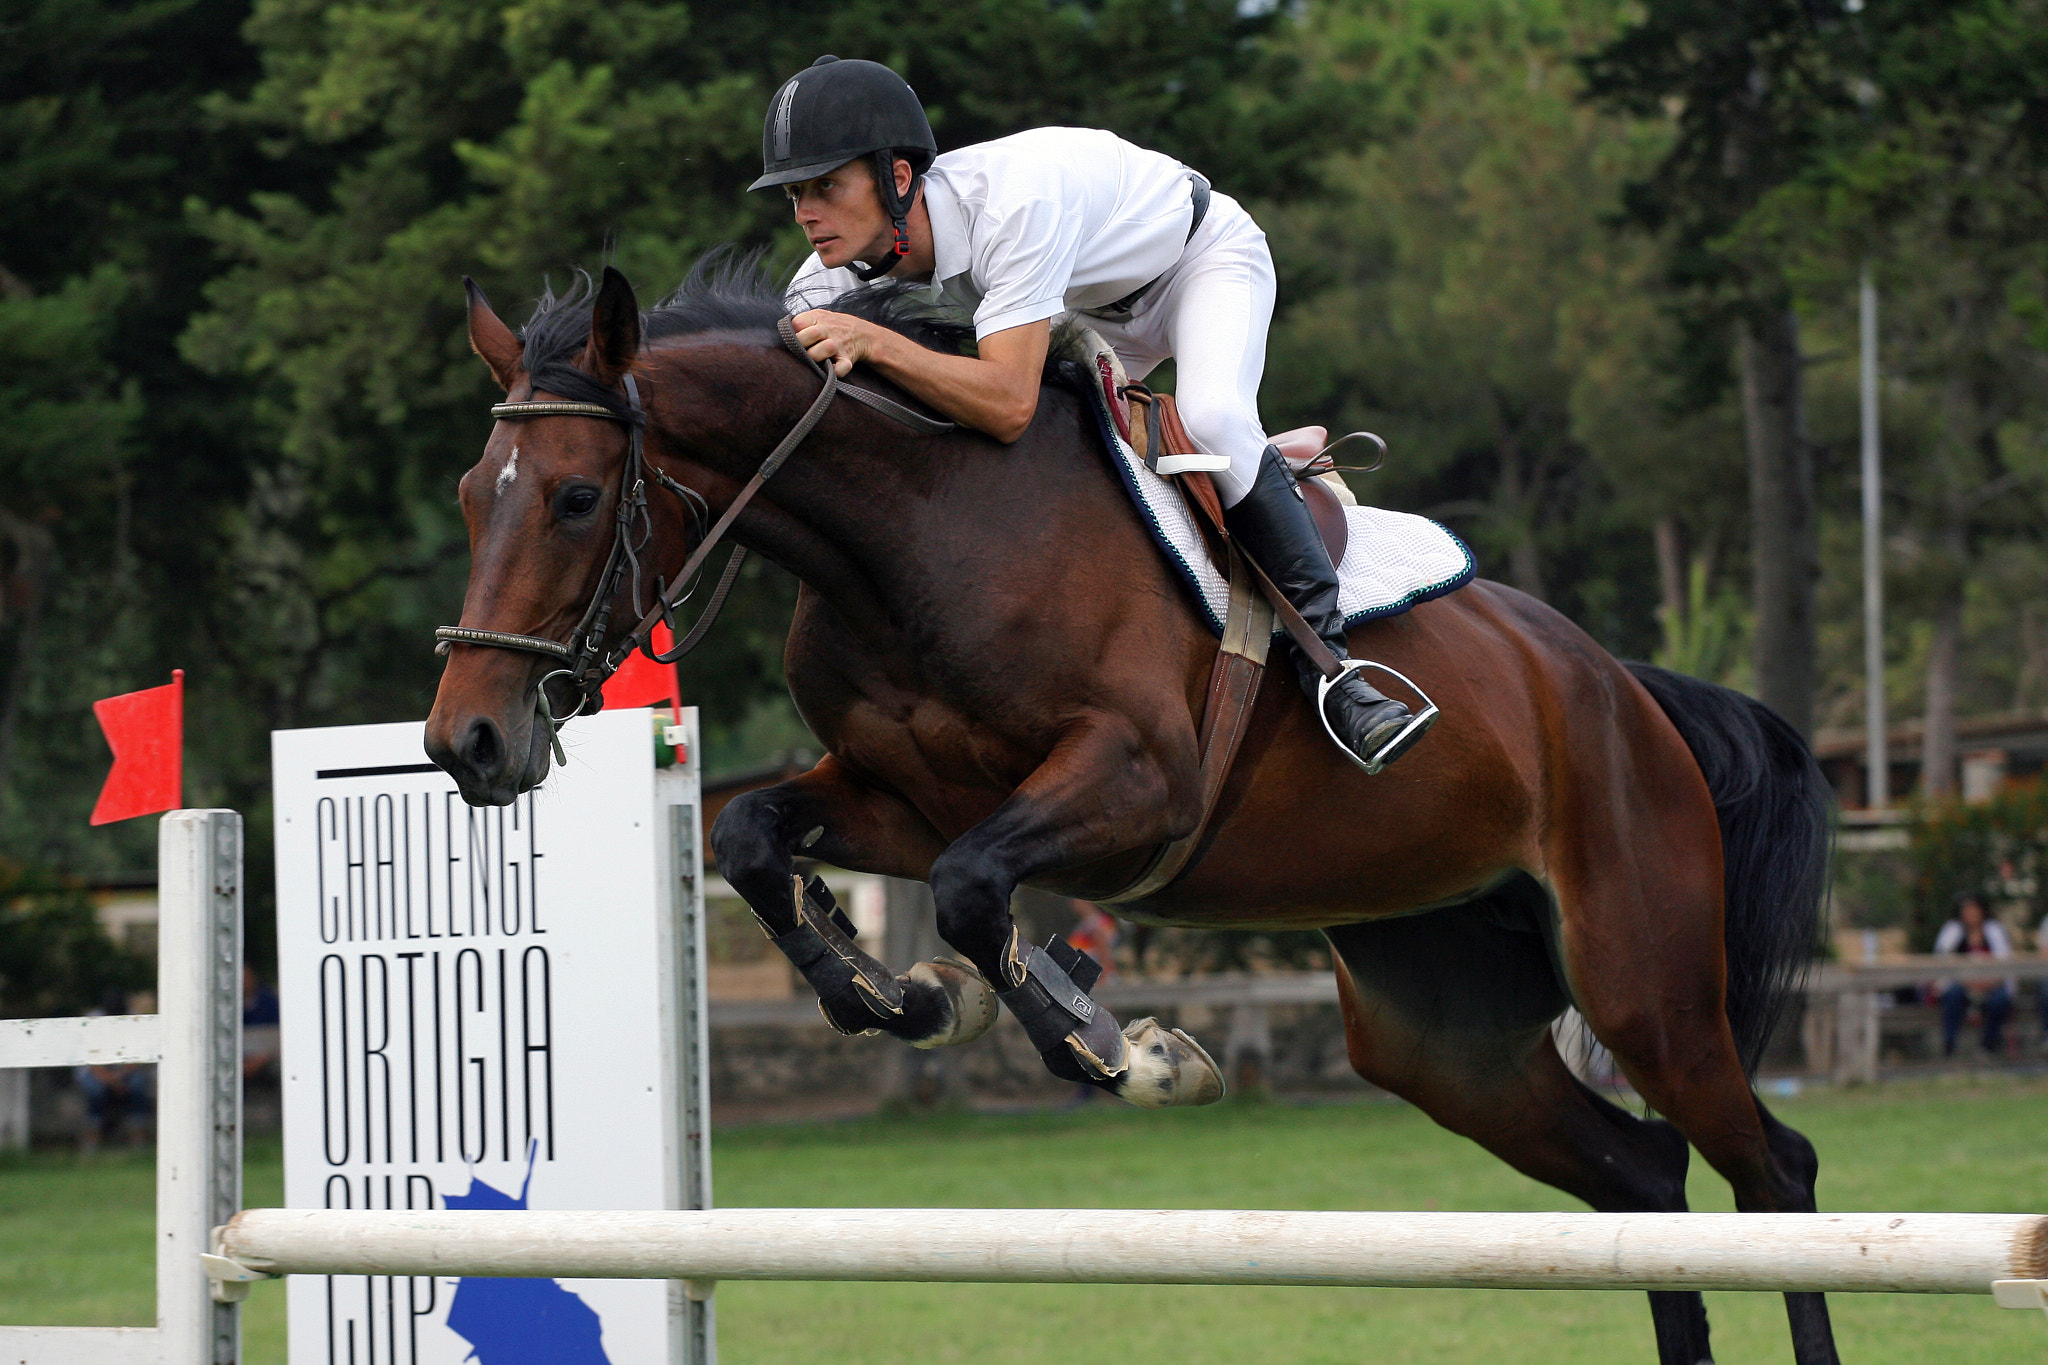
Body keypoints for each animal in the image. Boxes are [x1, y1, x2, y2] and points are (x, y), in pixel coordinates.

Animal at [425, 256, 1837, 1365]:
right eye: (470, 493)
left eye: (575, 498)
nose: (466, 743)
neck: (914, 528)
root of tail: (1622, 690)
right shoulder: (905, 798)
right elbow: (754, 838)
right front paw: (900, 998)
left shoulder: (1135, 785)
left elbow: (976, 893)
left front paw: (1129, 1052)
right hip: (1440, 1031)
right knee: (1641, 1176)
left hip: (1642, 981)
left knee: (1772, 1171)